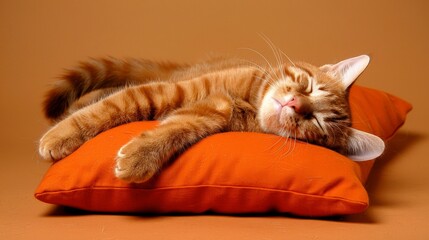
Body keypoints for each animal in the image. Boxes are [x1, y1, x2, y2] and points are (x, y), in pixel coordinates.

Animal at [37, 55, 384, 183]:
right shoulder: (170, 90)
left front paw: (140, 156)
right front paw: (60, 136)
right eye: (311, 87)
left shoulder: (210, 113)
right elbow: (109, 108)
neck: (247, 100)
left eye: (318, 122)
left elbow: (176, 128)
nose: (295, 103)